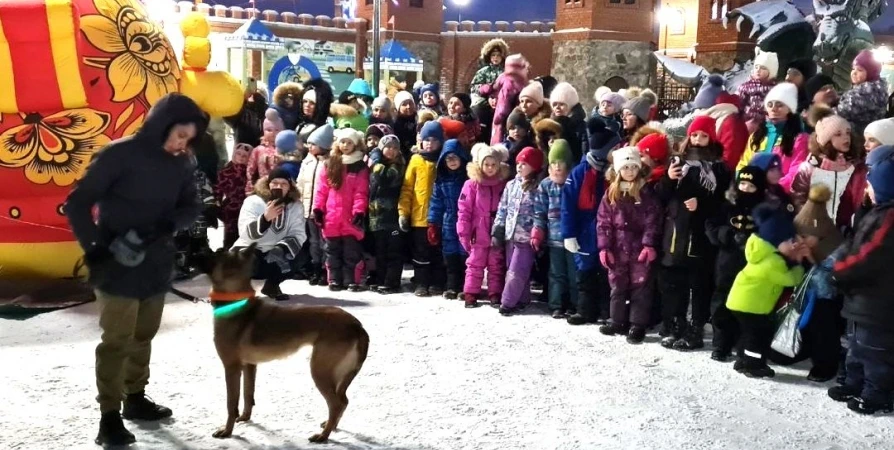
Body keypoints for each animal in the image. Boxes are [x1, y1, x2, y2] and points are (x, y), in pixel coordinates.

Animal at [205, 243, 370, 442]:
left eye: (218, 254)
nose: (206, 251)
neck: (236, 302)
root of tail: (357, 326)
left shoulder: (231, 368)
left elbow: (231, 404)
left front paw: (227, 431)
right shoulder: (249, 366)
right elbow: (248, 395)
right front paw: (245, 417)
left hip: (320, 371)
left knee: (336, 403)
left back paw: (323, 435)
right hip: (337, 373)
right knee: (343, 401)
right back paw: (330, 426)